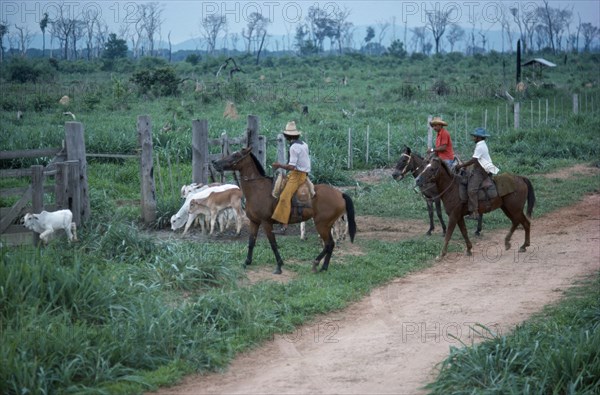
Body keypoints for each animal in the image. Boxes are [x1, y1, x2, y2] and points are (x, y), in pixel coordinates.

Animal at [213, 146, 356, 276]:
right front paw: (246, 262)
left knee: (328, 244)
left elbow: (273, 244)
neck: (257, 189)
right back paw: (324, 267)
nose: (215, 163)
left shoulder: (266, 223)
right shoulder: (254, 222)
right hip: (327, 224)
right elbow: (251, 242)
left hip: (322, 224)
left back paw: (316, 264)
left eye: (236, 155)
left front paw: (279, 266)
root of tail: (340, 194)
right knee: (330, 245)